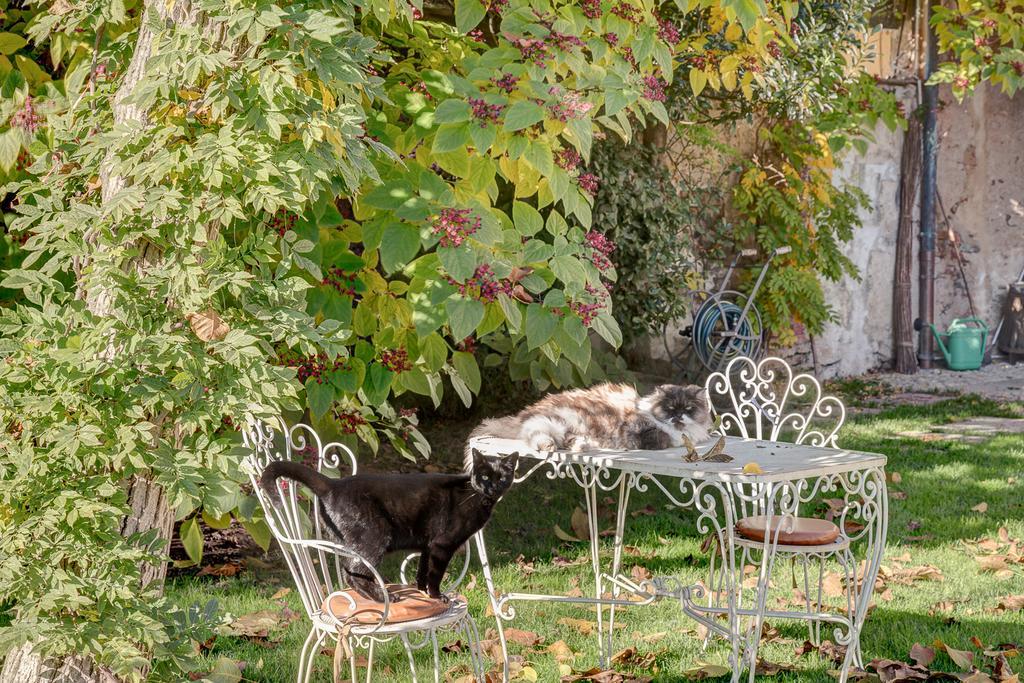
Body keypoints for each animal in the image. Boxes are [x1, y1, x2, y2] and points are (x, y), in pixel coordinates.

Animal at [262, 450, 520, 602]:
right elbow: (435, 573)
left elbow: (422, 570)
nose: (492, 487)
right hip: (375, 536)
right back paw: (381, 597)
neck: (476, 496)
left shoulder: (428, 546)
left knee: (348, 569)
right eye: (484, 476)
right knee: (352, 572)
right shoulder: (442, 544)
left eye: (501, 477)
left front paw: (422, 591)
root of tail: (334, 484)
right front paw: (437, 596)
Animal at [466, 382, 712, 466]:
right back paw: (550, 446)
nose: (677, 415)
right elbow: (659, 438)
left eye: (687, 409)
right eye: (670, 408)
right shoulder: (639, 427)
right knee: (537, 438)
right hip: (552, 422)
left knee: (567, 442)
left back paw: (581, 446)